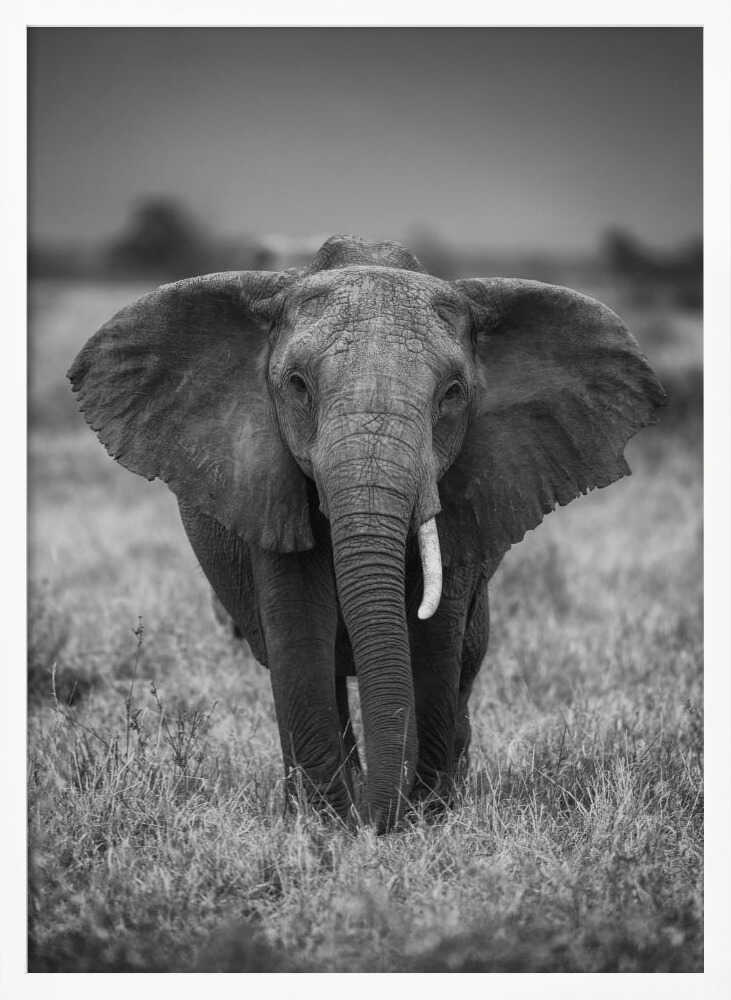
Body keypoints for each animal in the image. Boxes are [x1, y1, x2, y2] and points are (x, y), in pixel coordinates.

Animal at [68, 234, 665, 832]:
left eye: (452, 393)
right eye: (297, 386)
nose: (377, 821)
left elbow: (435, 637)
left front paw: (422, 818)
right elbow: (299, 629)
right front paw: (326, 825)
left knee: (466, 662)